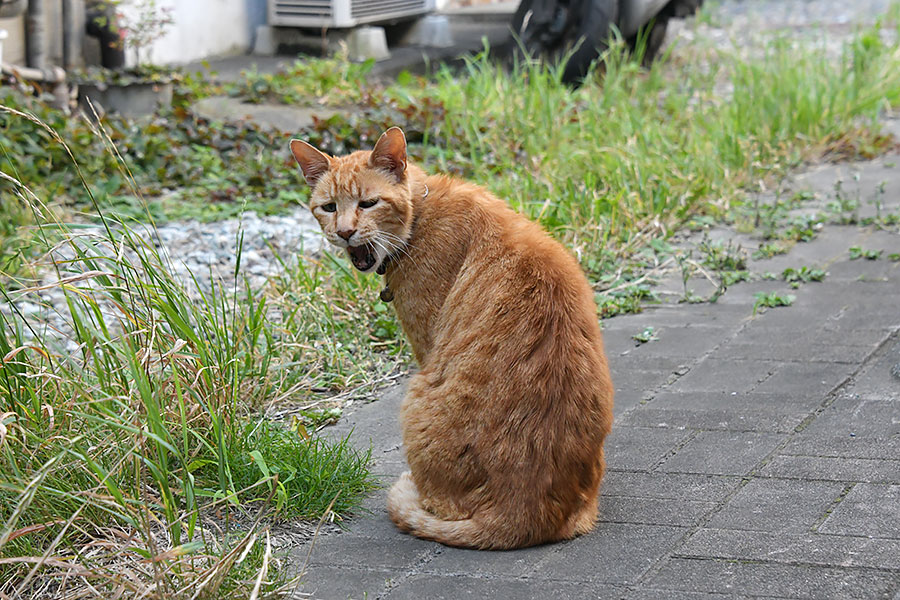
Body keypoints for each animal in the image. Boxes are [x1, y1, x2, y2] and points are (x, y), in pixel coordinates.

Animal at [292, 129, 616, 552]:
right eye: (329, 207)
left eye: (369, 203)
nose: (344, 233)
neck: (420, 216)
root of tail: (523, 518)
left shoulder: (426, 343)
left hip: (416, 396)